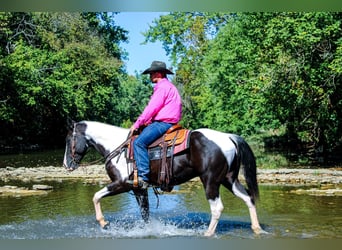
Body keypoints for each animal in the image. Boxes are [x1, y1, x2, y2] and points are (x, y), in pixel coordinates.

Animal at [62, 119, 264, 236]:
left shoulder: (122, 184)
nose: (66, 165)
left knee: (217, 208)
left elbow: (96, 196)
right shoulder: (139, 189)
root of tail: (229, 137)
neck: (117, 147)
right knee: (249, 198)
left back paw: (208, 233)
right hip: (229, 179)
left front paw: (103, 222)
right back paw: (257, 228)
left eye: (68, 139)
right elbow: (145, 213)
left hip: (210, 181)